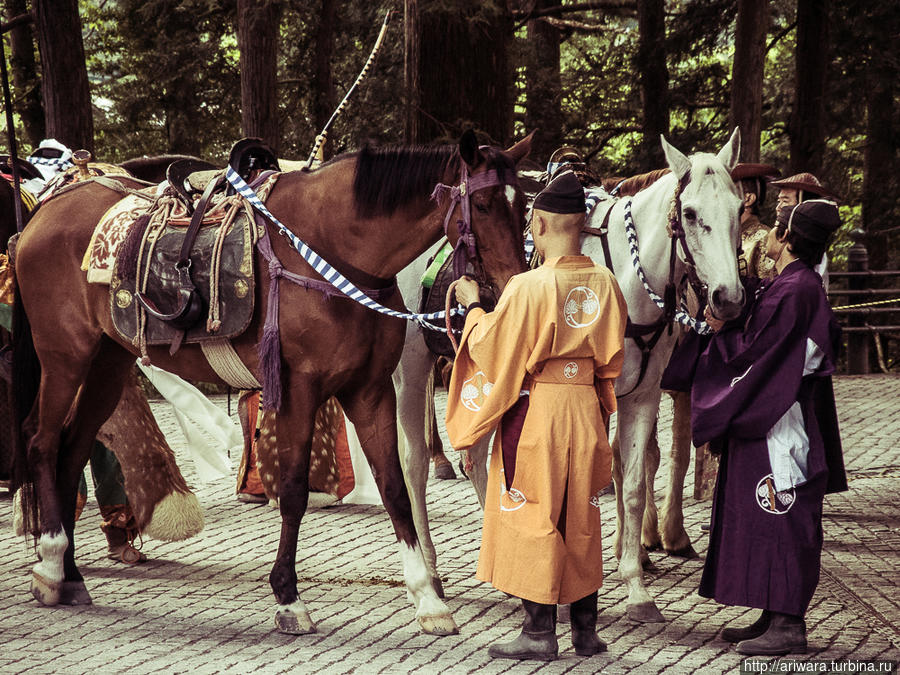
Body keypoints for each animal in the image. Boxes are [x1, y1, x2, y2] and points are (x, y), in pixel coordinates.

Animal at [14, 129, 532, 636]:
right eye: (483, 203)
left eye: (522, 203)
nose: (513, 281)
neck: (331, 249)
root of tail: (45, 213)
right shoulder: (298, 390)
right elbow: (295, 491)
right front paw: (288, 597)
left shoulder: (370, 389)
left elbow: (395, 487)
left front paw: (428, 599)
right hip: (65, 357)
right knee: (43, 442)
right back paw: (50, 566)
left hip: (107, 362)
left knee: (72, 449)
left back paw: (69, 574)